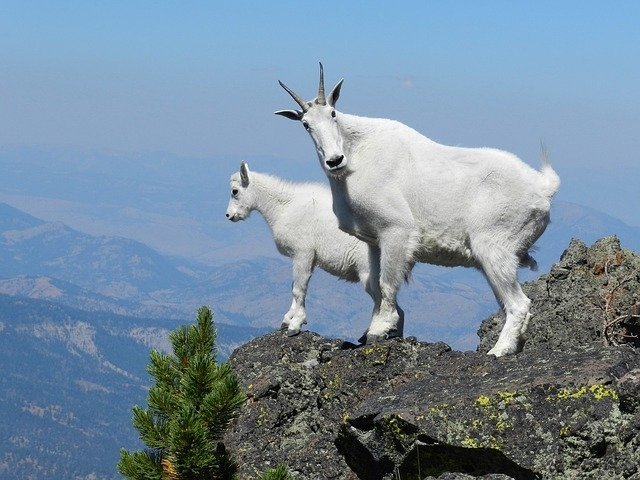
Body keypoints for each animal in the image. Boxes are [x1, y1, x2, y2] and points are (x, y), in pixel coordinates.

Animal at [225, 161, 388, 338]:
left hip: (367, 271)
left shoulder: (302, 253)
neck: (282, 207)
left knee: (381, 298)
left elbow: (298, 289)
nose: (229, 215)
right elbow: (295, 287)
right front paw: (287, 319)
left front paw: (295, 325)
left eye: (235, 191)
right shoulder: (306, 258)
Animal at [276, 63, 560, 356]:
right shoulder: (374, 240)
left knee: (519, 304)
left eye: (333, 113)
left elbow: (387, 282)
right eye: (306, 124)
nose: (334, 160)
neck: (356, 157)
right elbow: (376, 283)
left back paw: (498, 350)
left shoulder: (395, 230)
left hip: (494, 247)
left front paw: (380, 329)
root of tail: (542, 188)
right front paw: (374, 328)